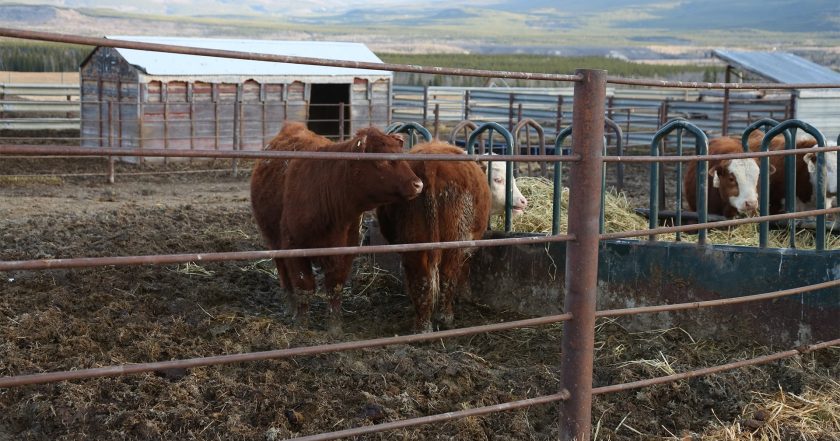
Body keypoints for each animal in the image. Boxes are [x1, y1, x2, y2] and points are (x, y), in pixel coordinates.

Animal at [248, 121, 420, 334]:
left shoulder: (346, 250)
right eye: (382, 161)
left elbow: (335, 287)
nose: (418, 184)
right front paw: (302, 323)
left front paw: (335, 327)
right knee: (284, 274)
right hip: (273, 239)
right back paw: (290, 306)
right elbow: (304, 286)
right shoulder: (293, 246)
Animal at [376, 142, 492, 334]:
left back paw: (422, 326)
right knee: (447, 274)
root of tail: (431, 164)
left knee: (420, 278)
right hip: (454, 240)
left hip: (415, 242)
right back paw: (445, 318)